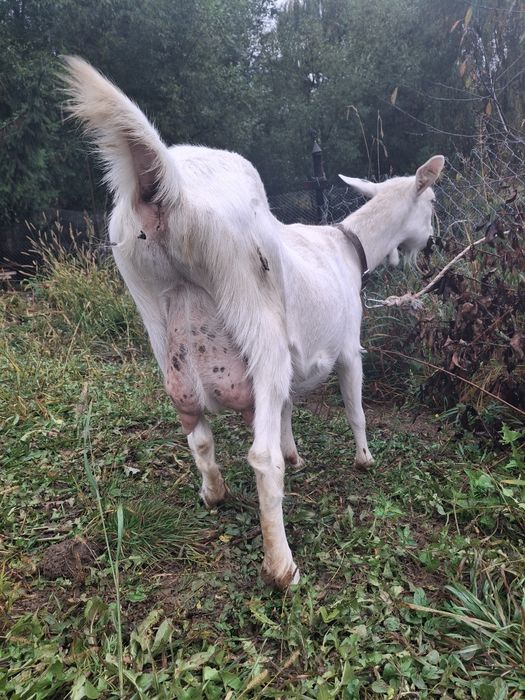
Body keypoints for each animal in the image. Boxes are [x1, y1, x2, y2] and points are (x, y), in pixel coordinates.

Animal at [61, 57, 444, 589]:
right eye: (430, 204)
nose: (431, 246)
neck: (349, 246)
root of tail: (167, 190)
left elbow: (286, 413)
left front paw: (296, 455)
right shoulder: (348, 347)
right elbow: (355, 410)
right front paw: (365, 460)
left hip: (162, 324)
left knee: (198, 432)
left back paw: (214, 493)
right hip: (258, 322)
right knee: (260, 457)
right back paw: (281, 566)